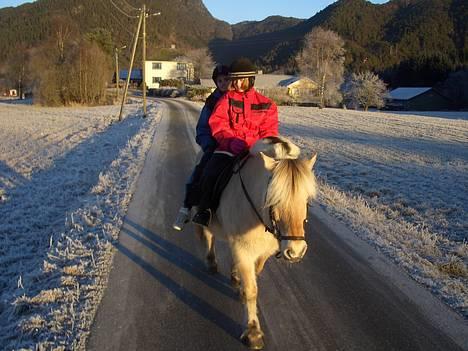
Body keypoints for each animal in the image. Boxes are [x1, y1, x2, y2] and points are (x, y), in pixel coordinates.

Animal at [194, 136, 318, 350]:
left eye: (307, 200)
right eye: (275, 199)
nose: (295, 251)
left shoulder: (264, 251)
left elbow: (255, 272)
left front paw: (237, 278)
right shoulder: (243, 250)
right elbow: (251, 291)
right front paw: (253, 332)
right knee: (208, 236)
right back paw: (211, 263)